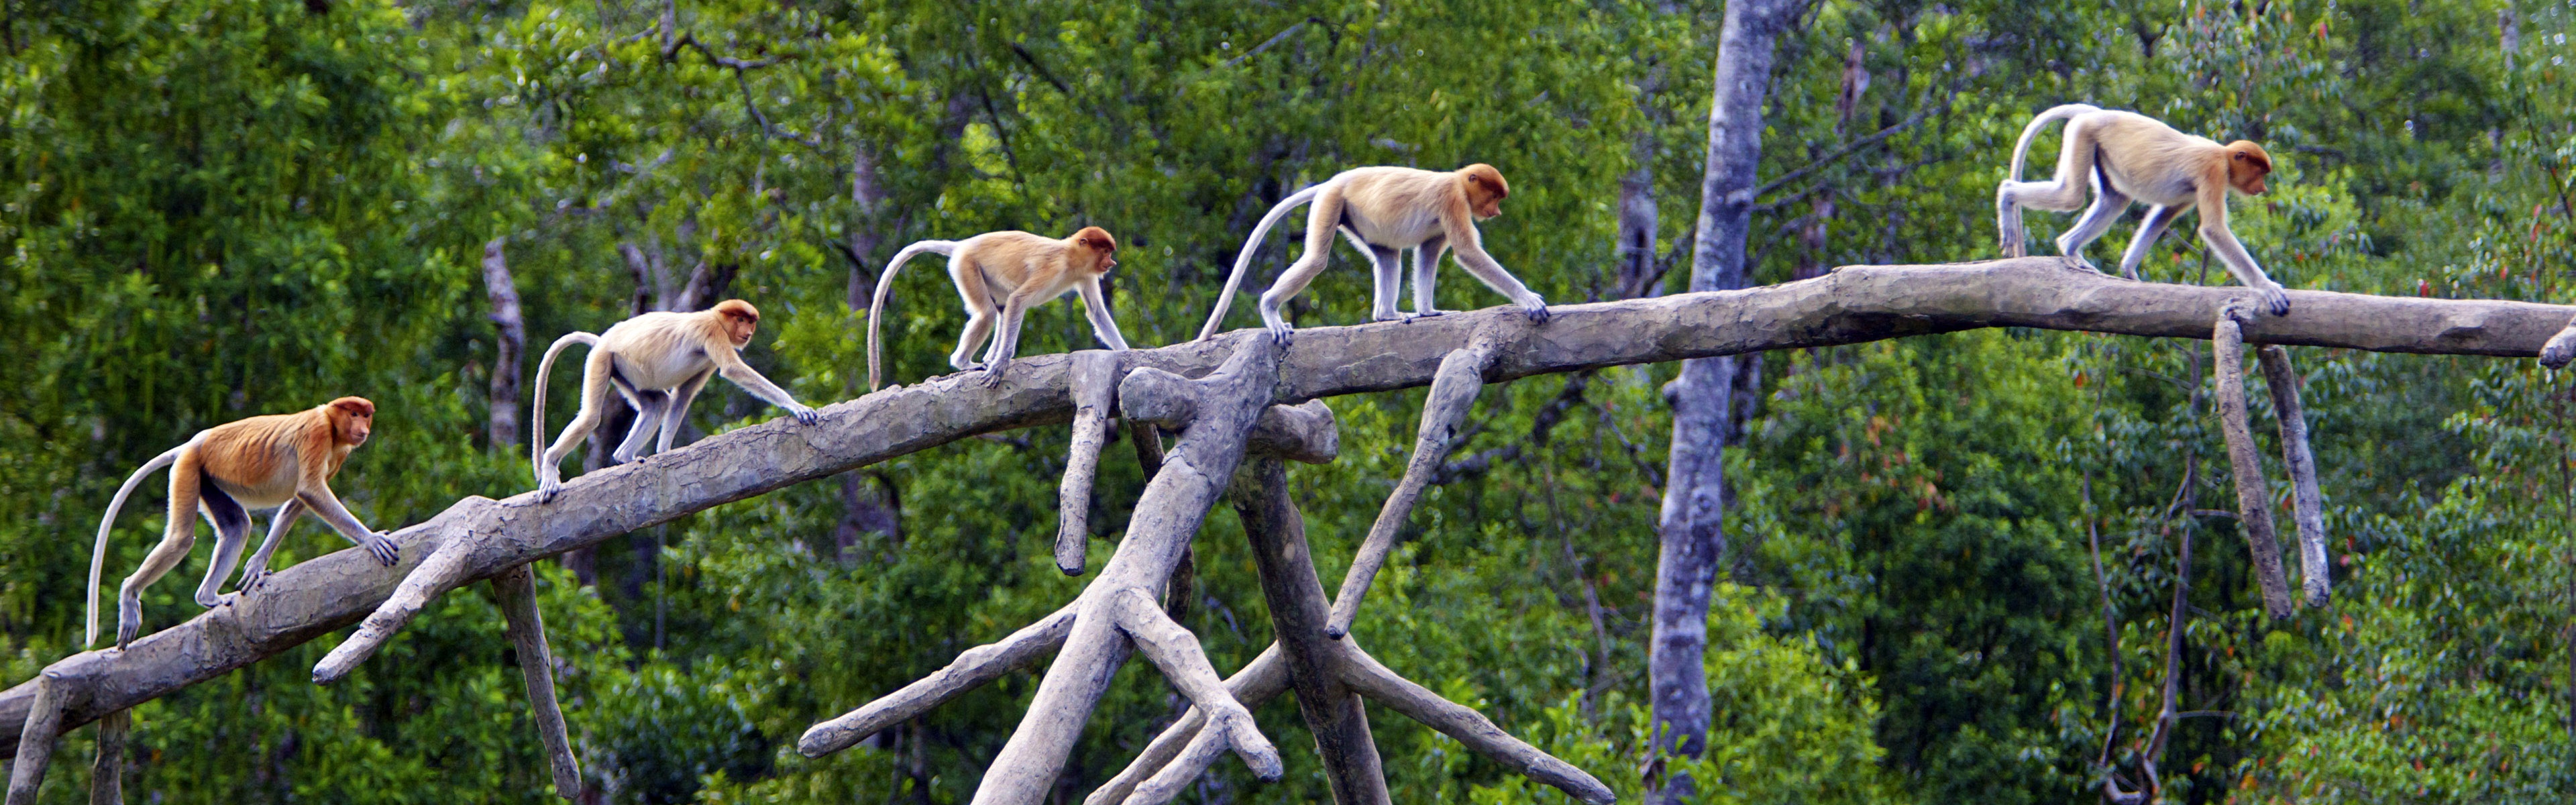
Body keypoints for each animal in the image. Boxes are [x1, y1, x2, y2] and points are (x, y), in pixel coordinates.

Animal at [88, 400, 396, 650]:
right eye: (354, 414)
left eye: (366, 416)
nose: (363, 428)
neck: (332, 425)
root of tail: (193, 442)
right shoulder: (316, 433)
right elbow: (309, 490)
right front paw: (371, 540)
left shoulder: (339, 454)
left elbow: (297, 503)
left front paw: (257, 565)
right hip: (188, 466)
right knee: (181, 539)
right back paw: (130, 593)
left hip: (206, 477)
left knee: (237, 526)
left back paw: (208, 596)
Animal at [535, 299, 824, 500]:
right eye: (741, 319)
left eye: (751, 322)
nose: (748, 332)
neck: (716, 317)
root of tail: (604, 340)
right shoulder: (712, 332)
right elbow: (733, 369)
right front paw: (797, 407)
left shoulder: (708, 358)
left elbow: (684, 394)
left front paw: (664, 452)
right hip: (603, 359)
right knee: (591, 417)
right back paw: (550, 464)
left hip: (624, 371)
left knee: (658, 404)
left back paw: (625, 456)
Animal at [870, 224, 1133, 392]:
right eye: (1106, 251)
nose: (1112, 263)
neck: (1071, 255)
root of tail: (962, 245)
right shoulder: (1054, 267)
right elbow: (1019, 300)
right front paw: (1001, 364)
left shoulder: (1086, 275)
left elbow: (1096, 312)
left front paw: (1127, 353)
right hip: (966, 266)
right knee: (988, 313)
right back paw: (965, 362)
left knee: (1001, 310)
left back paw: (987, 358)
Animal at [1190, 164, 1546, 343]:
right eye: (1494, 196)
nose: (1496, 212)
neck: (1459, 180)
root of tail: (1335, 180)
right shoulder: (1453, 200)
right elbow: (1467, 252)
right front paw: (1529, 299)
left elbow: (1428, 253)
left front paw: (1429, 312)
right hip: (1332, 201)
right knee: (1317, 260)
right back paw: (1270, 308)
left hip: (1357, 219)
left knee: (1388, 256)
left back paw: (1387, 314)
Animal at [1988, 106, 2298, 317]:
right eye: (2260, 172)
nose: (2263, 188)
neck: (2224, 154)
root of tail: (2097, 113)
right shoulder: (2214, 171)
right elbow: (2213, 229)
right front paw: (2267, 288)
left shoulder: (2190, 192)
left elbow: (2163, 215)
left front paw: (2130, 271)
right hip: (2084, 134)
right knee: (2070, 196)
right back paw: (2007, 196)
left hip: (2098, 149)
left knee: (2115, 199)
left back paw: (2071, 250)